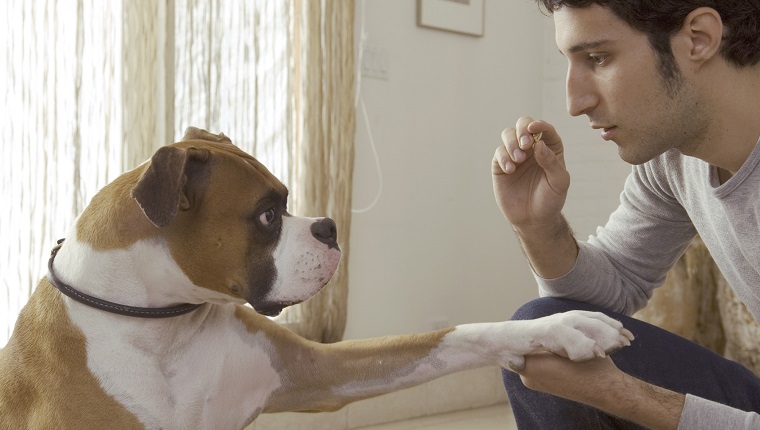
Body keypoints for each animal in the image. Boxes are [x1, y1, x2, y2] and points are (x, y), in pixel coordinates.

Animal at [0, 127, 636, 430]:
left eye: (286, 200)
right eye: (266, 214)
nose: (328, 227)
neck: (165, 328)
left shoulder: (320, 371)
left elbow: (451, 337)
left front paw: (562, 326)